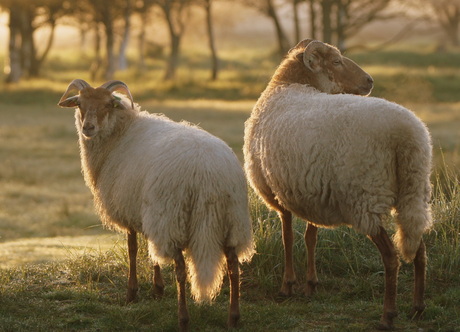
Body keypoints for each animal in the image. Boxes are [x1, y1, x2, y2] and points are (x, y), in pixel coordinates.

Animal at [57, 79, 255, 330]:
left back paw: (183, 318)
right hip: (232, 219)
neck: (120, 132)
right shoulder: (146, 210)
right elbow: (150, 251)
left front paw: (132, 293)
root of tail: (208, 172)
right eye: (80, 104)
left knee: (181, 270)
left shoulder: (129, 207)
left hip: (173, 217)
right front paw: (157, 289)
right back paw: (233, 318)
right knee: (233, 267)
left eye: (108, 104)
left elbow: (133, 248)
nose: (88, 128)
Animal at [244, 39, 432, 330]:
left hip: (365, 198)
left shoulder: (278, 193)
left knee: (391, 257)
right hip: (414, 192)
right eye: (336, 61)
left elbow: (287, 237)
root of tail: (407, 136)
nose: (370, 81)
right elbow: (310, 237)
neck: (287, 85)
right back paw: (417, 307)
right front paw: (310, 285)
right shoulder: (309, 190)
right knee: (419, 248)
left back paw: (388, 315)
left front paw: (288, 285)